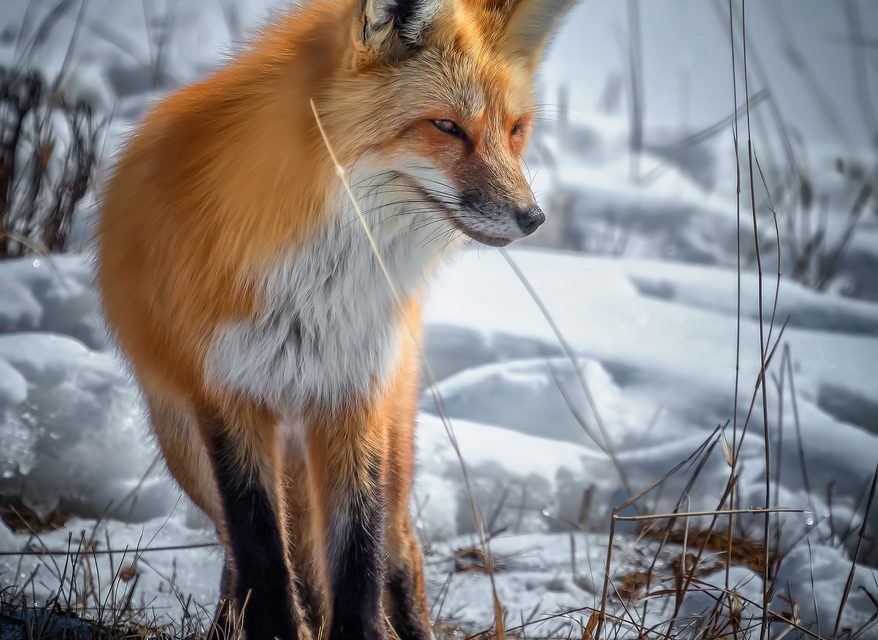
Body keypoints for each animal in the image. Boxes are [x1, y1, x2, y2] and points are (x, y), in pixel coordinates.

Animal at [97, 0, 576, 638]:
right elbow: (260, 547)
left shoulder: (354, 394)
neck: (319, 290)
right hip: (184, 445)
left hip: (387, 433)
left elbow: (357, 553)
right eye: (447, 126)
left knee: (399, 548)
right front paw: (277, 625)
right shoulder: (226, 396)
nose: (533, 217)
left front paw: (359, 629)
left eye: (516, 130)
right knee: (243, 549)